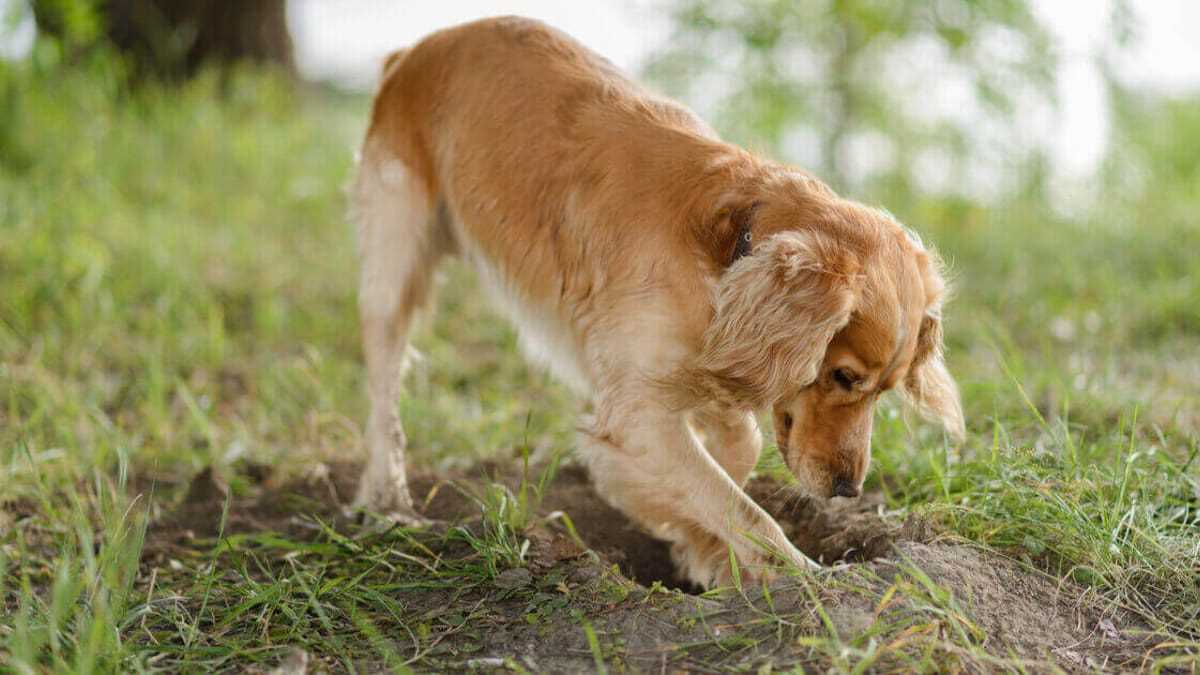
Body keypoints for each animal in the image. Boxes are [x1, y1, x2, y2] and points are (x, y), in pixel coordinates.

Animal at [348, 14, 964, 583]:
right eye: (842, 376)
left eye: (885, 390)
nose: (848, 489)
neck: (728, 251)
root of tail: (420, 47)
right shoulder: (638, 411)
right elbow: (743, 509)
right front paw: (799, 575)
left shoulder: (705, 366)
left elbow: (736, 451)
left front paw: (698, 547)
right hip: (393, 264)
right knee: (382, 395)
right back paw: (386, 500)